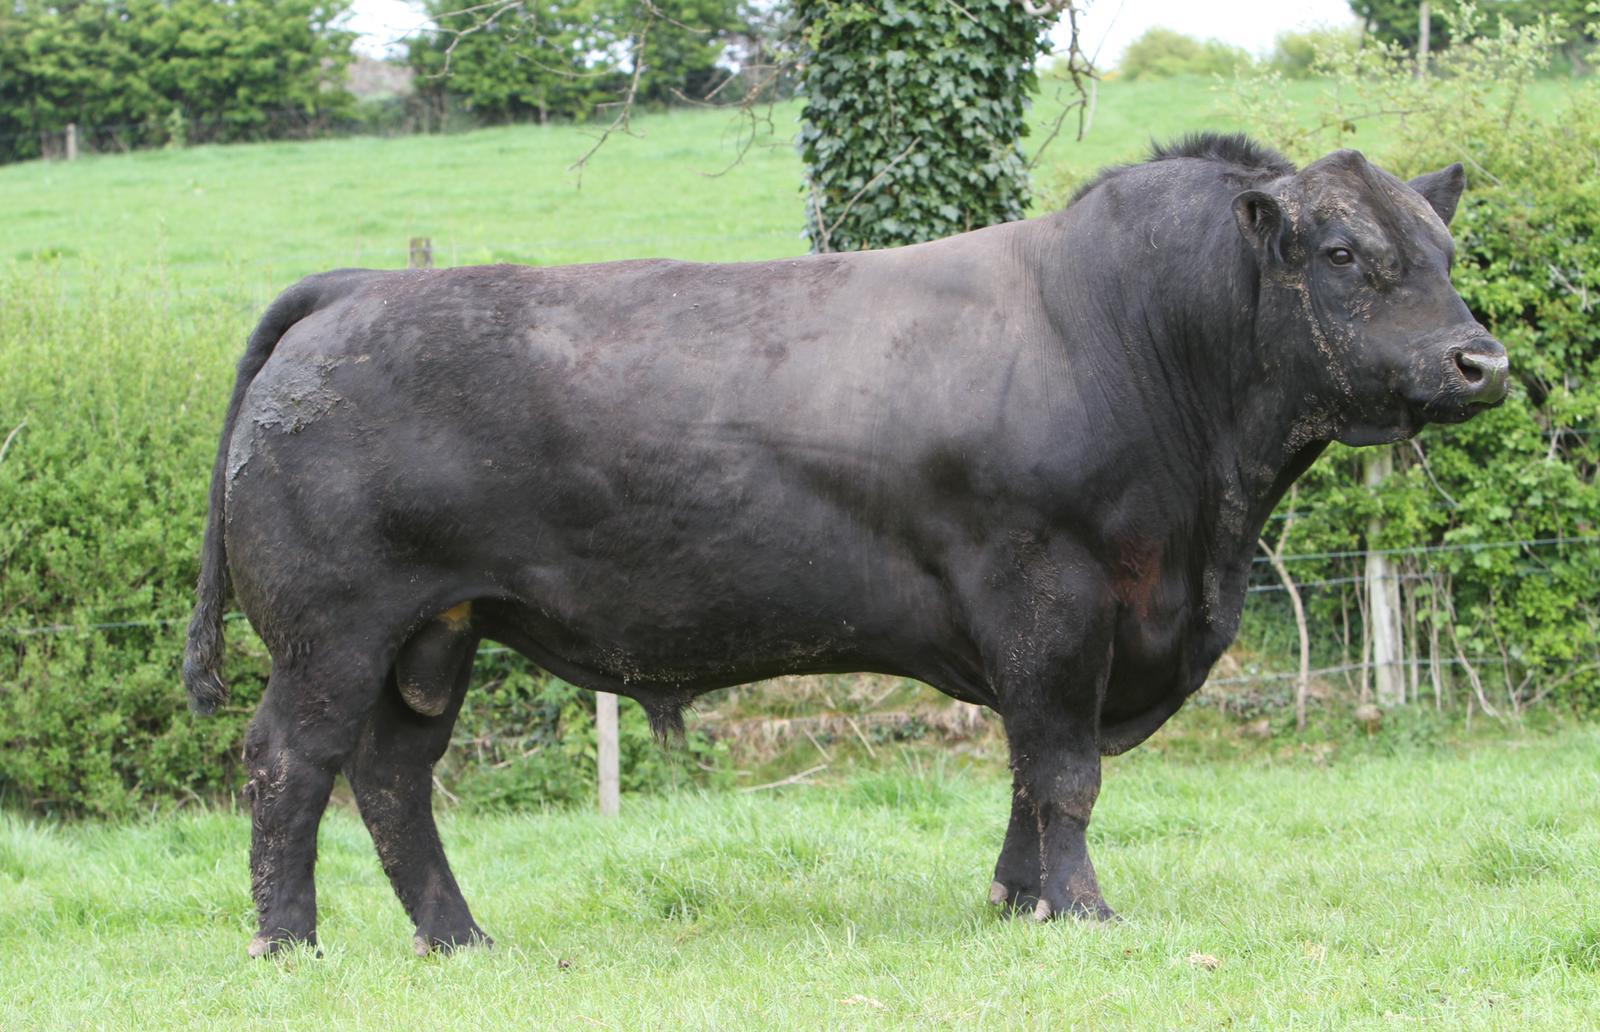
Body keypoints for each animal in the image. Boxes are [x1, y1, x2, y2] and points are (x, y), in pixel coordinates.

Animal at [184, 133, 1509, 956]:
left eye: (1445, 255)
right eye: (1342, 255)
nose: (1480, 360)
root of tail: (357, 289)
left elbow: (1027, 772)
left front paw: (1017, 902)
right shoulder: (1053, 596)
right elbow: (1064, 770)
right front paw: (1082, 914)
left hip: (433, 634)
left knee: (392, 781)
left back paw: (459, 941)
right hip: (332, 632)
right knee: (288, 765)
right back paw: (290, 947)